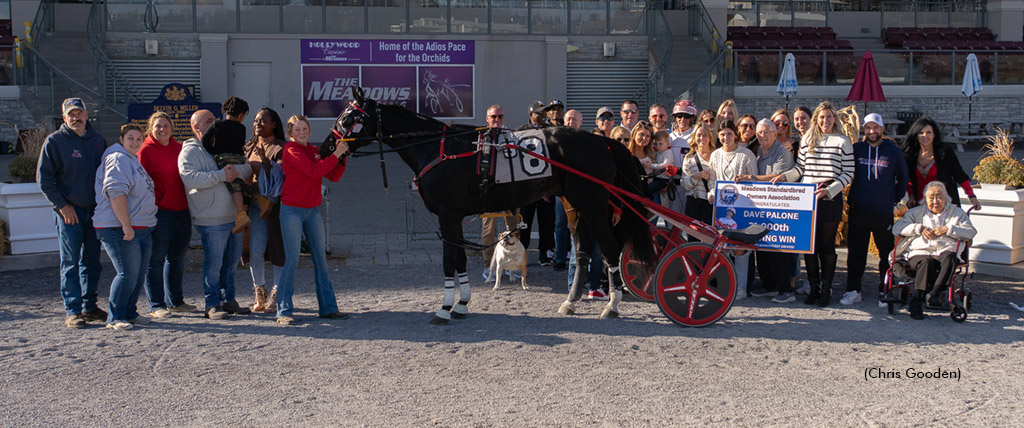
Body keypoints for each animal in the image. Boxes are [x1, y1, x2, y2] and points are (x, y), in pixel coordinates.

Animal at [331, 87, 659, 323]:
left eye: (348, 117)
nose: (328, 145)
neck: (437, 148)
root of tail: (601, 141)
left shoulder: (448, 216)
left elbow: (449, 262)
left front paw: (444, 308)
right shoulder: (454, 219)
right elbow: (460, 261)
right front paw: (461, 304)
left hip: (593, 205)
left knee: (611, 248)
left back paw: (613, 305)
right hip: (573, 205)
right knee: (582, 250)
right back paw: (571, 301)